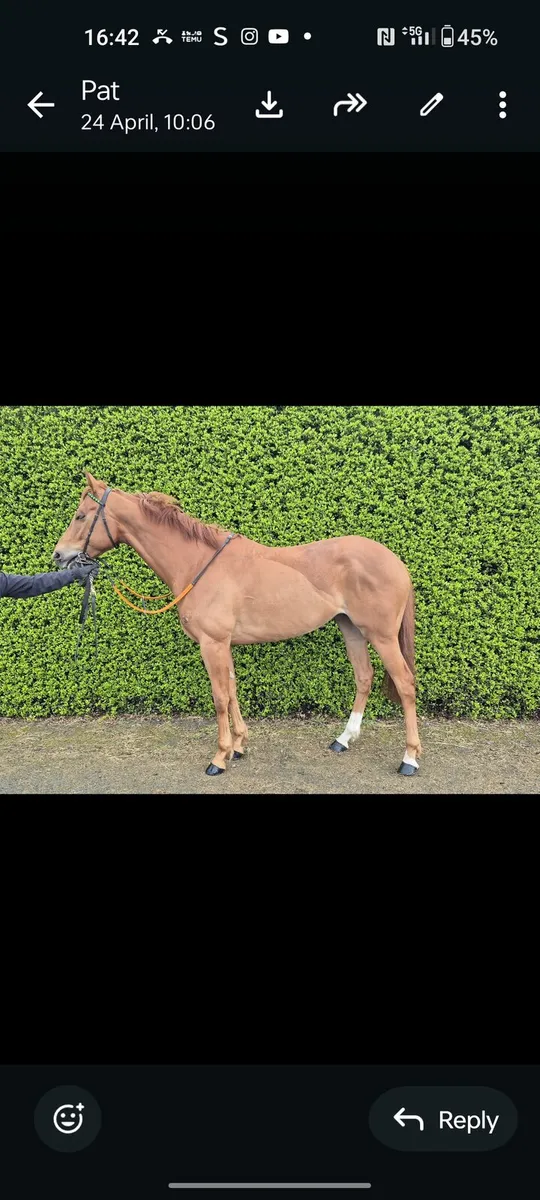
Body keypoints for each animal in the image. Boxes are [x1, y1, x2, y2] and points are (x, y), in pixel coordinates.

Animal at [53, 472, 422, 778]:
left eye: (81, 515)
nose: (59, 555)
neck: (199, 564)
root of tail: (397, 563)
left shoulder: (212, 643)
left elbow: (219, 698)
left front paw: (219, 758)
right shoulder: (224, 644)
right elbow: (231, 692)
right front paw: (239, 746)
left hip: (382, 636)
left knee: (405, 683)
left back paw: (409, 759)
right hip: (352, 629)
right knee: (364, 677)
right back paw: (343, 739)